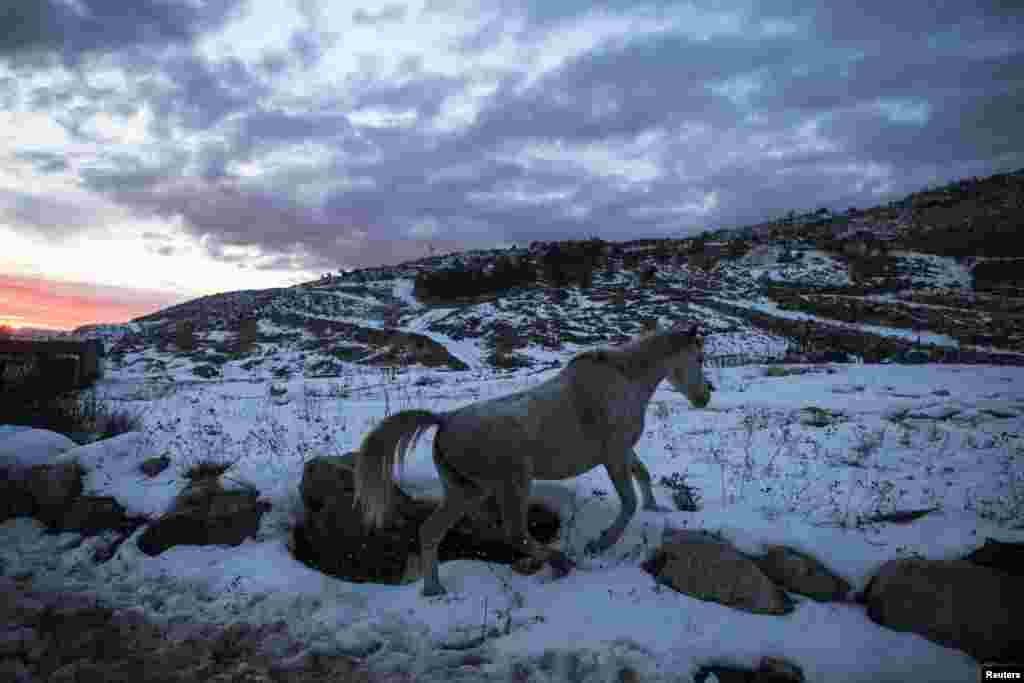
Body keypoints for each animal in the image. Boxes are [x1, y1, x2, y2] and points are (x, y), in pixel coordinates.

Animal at [352, 323, 712, 593]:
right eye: (699, 357)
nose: (705, 395)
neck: (625, 381)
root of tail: (444, 421)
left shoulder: (623, 450)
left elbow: (643, 476)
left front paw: (656, 508)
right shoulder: (613, 455)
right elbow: (627, 501)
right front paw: (601, 543)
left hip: (466, 490)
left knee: (431, 531)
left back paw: (434, 589)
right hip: (511, 484)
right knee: (515, 533)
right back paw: (561, 562)